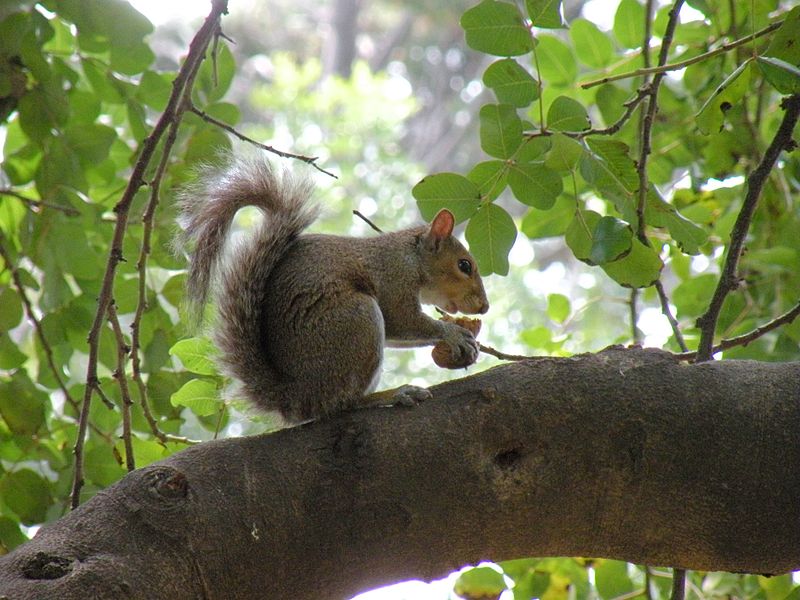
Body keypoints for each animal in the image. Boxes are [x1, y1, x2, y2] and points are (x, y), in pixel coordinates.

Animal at [177, 155, 488, 424]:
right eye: (464, 265)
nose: (484, 307)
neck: (411, 258)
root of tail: (297, 396)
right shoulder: (392, 281)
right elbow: (402, 321)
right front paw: (453, 333)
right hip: (358, 320)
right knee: (344, 402)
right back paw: (395, 394)